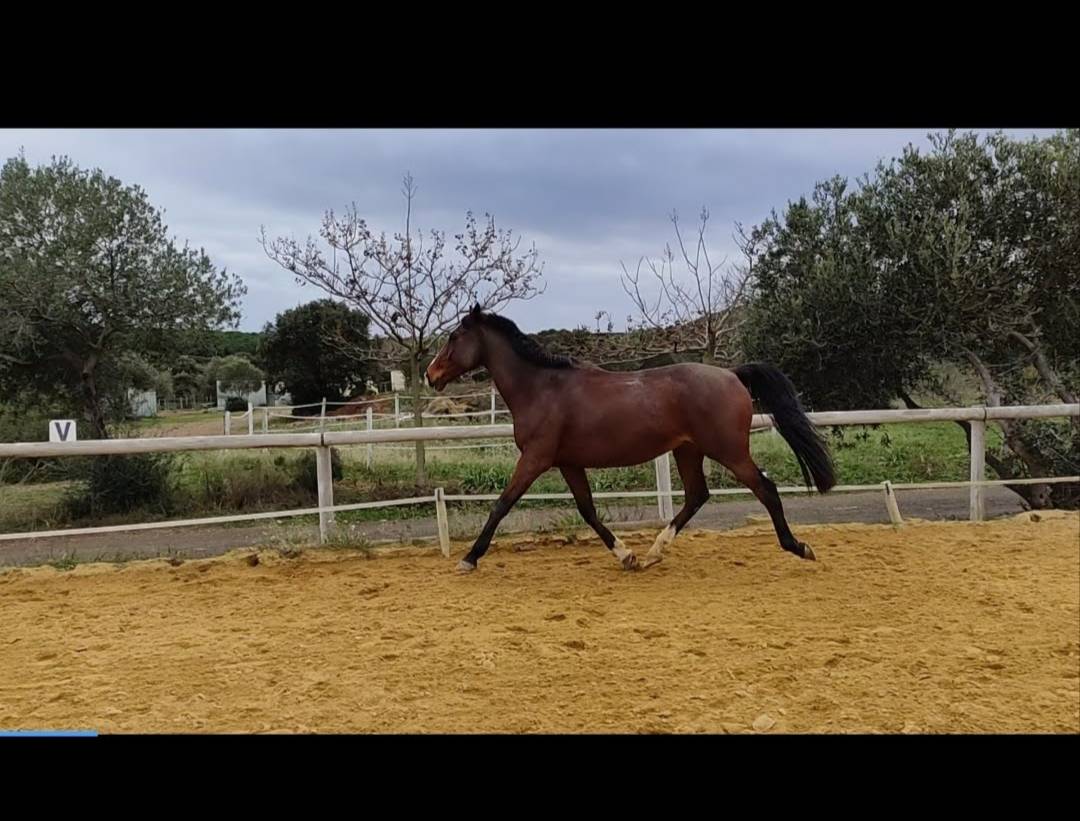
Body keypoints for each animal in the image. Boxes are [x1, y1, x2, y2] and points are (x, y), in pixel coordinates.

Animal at [425, 305, 836, 572]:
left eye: (454, 336)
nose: (431, 374)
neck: (542, 388)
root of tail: (732, 374)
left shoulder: (535, 459)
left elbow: (501, 505)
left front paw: (469, 558)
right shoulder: (567, 463)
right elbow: (588, 511)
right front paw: (627, 556)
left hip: (728, 450)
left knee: (765, 489)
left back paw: (799, 547)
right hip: (688, 451)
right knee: (697, 495)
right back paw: (653, 553)